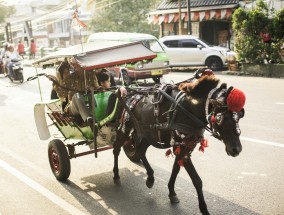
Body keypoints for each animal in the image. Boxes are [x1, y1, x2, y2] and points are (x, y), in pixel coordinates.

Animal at [112, 69, 245, 214]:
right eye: (222, 118)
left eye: (239, 116)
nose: (236, 149)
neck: (188, 110)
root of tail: (129, 90)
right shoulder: (181, 147)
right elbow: (197, 180)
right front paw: (204, 208)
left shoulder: (184, 146)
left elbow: (175, 169)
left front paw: (172, 192)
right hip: (126, 128)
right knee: (116, 148)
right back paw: (116, 175)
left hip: (148, 133)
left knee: (141, 151)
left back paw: (150, 178)